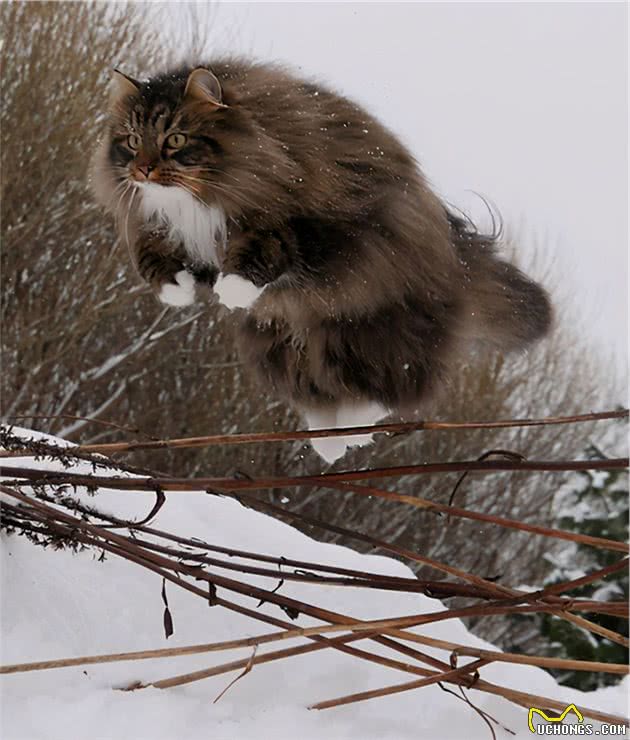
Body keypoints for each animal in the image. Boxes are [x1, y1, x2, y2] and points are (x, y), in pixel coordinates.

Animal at [92, 59, 552, 462]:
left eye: (175, 140)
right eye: (132, 140)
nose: (142, 170)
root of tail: (460, 262)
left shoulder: (314, 222)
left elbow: (271, 247)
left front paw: (233, 289)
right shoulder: (158, 228)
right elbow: (153, 258)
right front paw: (178, 291)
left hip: (374, 333)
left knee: (394, 392)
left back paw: (351, 434)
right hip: (282, 346)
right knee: (327, 395)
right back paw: (331, 443)